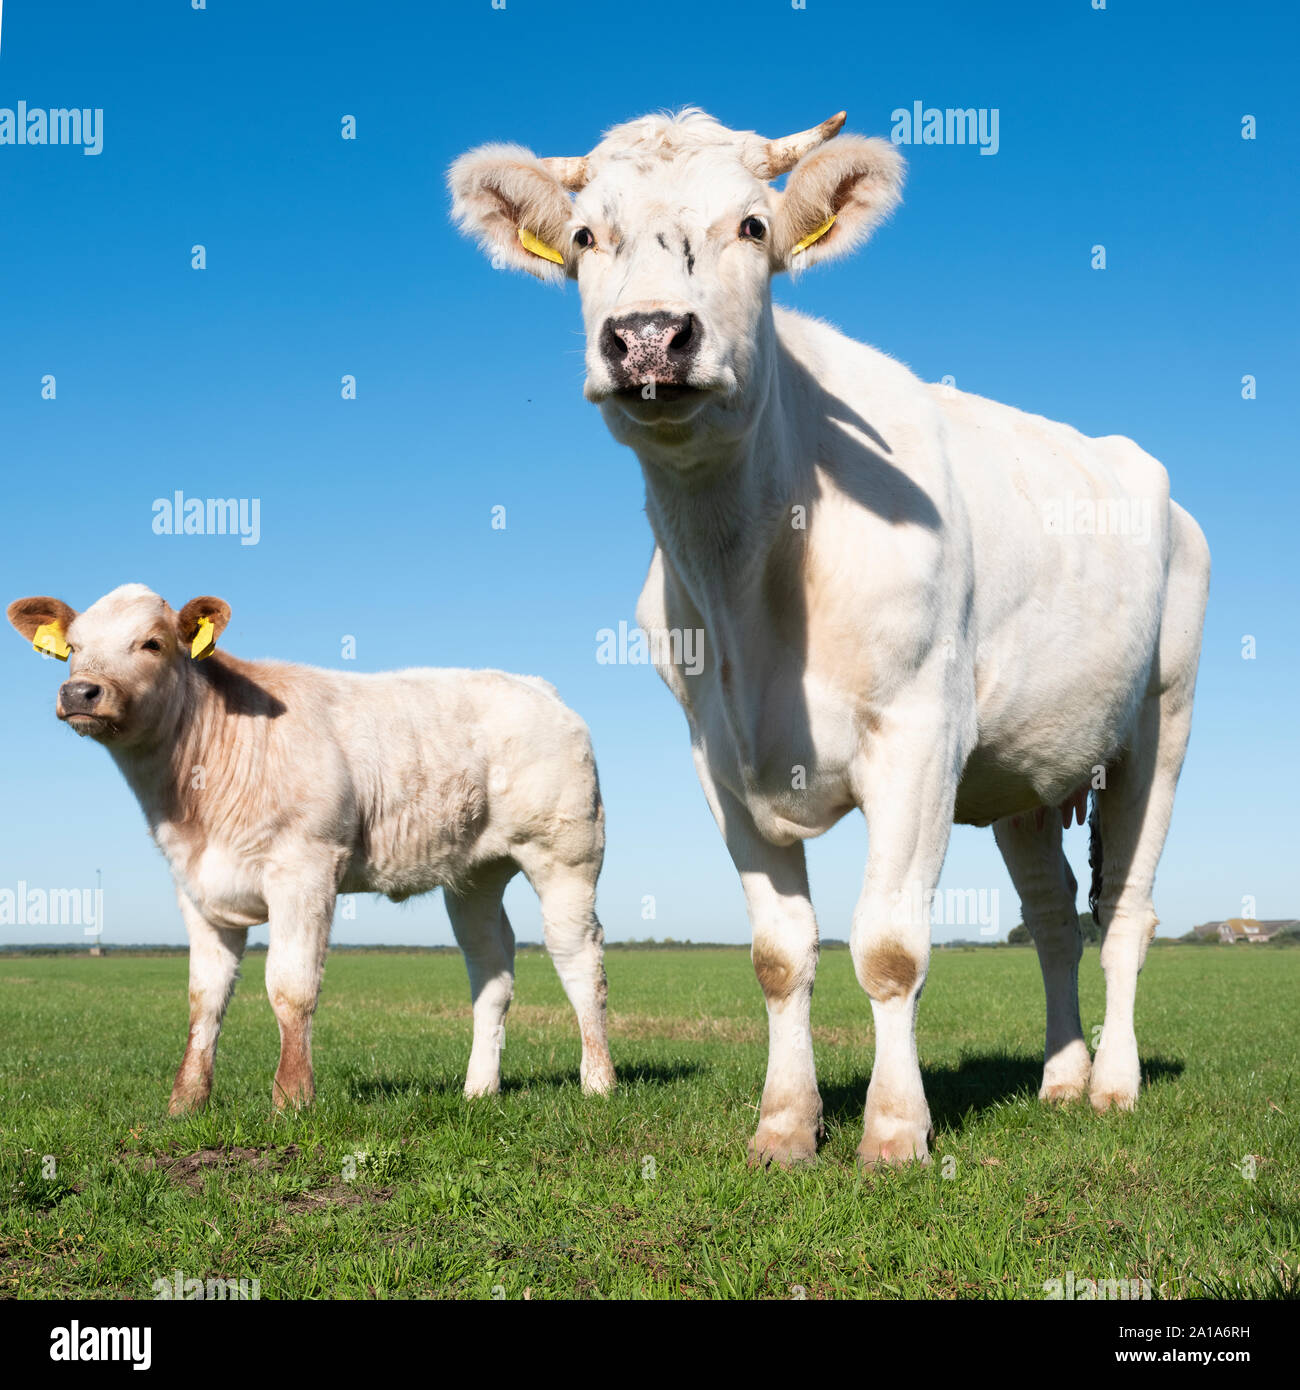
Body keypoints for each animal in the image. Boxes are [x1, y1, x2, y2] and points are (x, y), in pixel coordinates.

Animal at [7, 585, 616, 1111]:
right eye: (73, 648)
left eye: (152, 643)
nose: (80, 691)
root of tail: (535, 686)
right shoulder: (195, 887)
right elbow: (204, 999)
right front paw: (186, 1103)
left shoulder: (305, 869)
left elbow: (290, 987)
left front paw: (292, 1099)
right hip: (475, 875)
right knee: (491, 967)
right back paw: (479, 1089)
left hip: (566, 852)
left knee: (578, 957)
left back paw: (598, 1082)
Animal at [449, 109, 1210, 1167]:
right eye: (587, 236)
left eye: (755, 227)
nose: (648, 336)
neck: (750, 574)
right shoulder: (719, 760)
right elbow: (779, 955)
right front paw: (784, 1126)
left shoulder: (922, 737)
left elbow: (889, 947)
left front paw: (893, 1132)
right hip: (1025, 766)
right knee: (1055, 917)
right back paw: (1061, 1077)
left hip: (1160, 725)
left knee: (1127, 913)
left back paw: (1114, 1084)